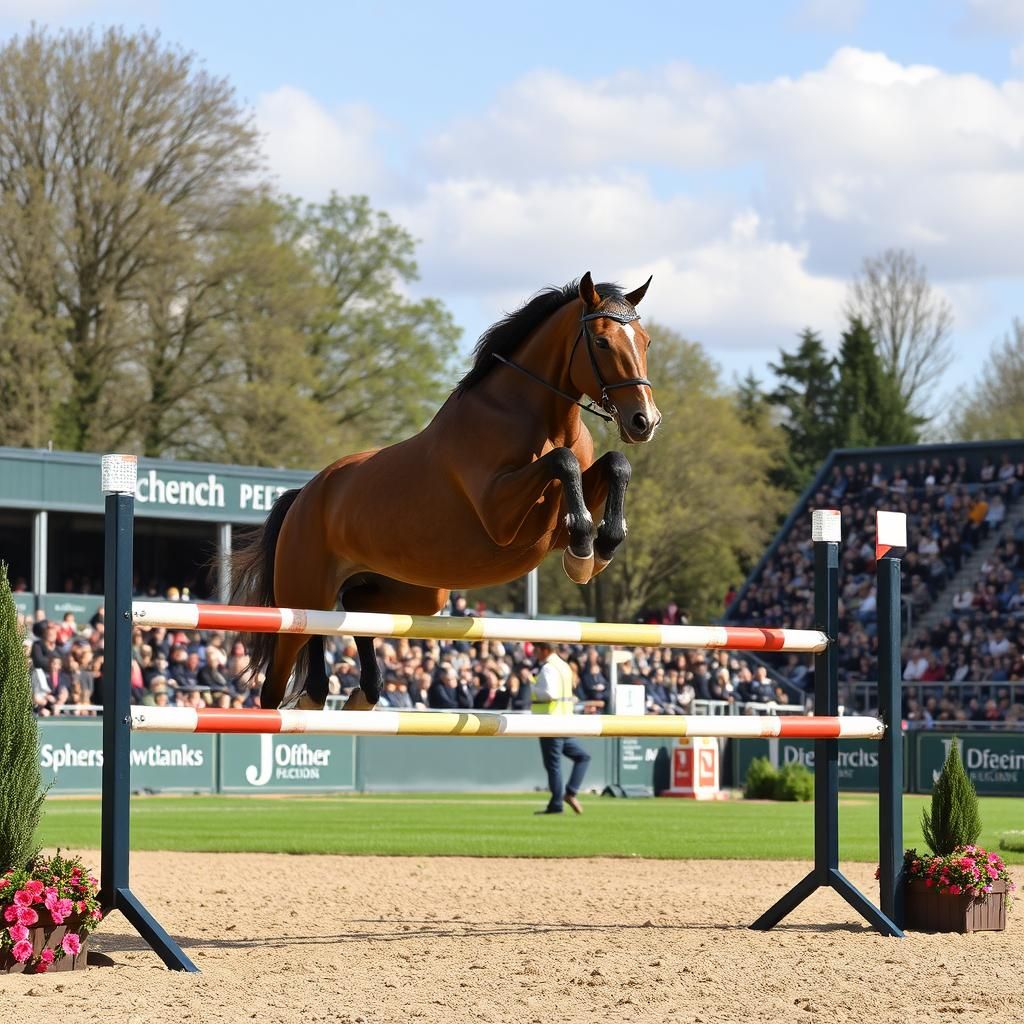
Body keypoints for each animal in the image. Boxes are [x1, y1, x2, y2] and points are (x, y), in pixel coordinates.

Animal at [230, 272, 660, 710]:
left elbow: (615, 464)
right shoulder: (501, 518)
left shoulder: (550, 524)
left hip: (416, 593)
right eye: (602, 342)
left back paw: (356, 694)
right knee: (282, 671)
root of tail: (302, 495)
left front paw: (601, 546)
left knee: (352, 607)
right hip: (302, 592)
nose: (644, 421)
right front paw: (584, 551)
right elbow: (563, 462)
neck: (541, 419)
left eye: (644, 342)